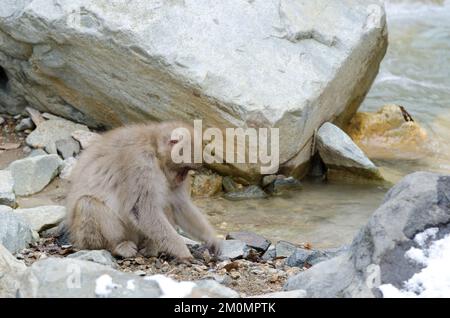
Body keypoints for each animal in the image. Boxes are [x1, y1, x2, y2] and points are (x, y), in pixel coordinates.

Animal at [65, 121, 221, 260]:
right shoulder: (140, 162)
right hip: (85, 237)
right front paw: (183, 251)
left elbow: (180, 205)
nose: (182, 179)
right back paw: (117, 246)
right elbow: (142, 209)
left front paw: (211, 239)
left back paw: (151, 248)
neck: (155, 149)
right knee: (87, 203)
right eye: (184, 169)